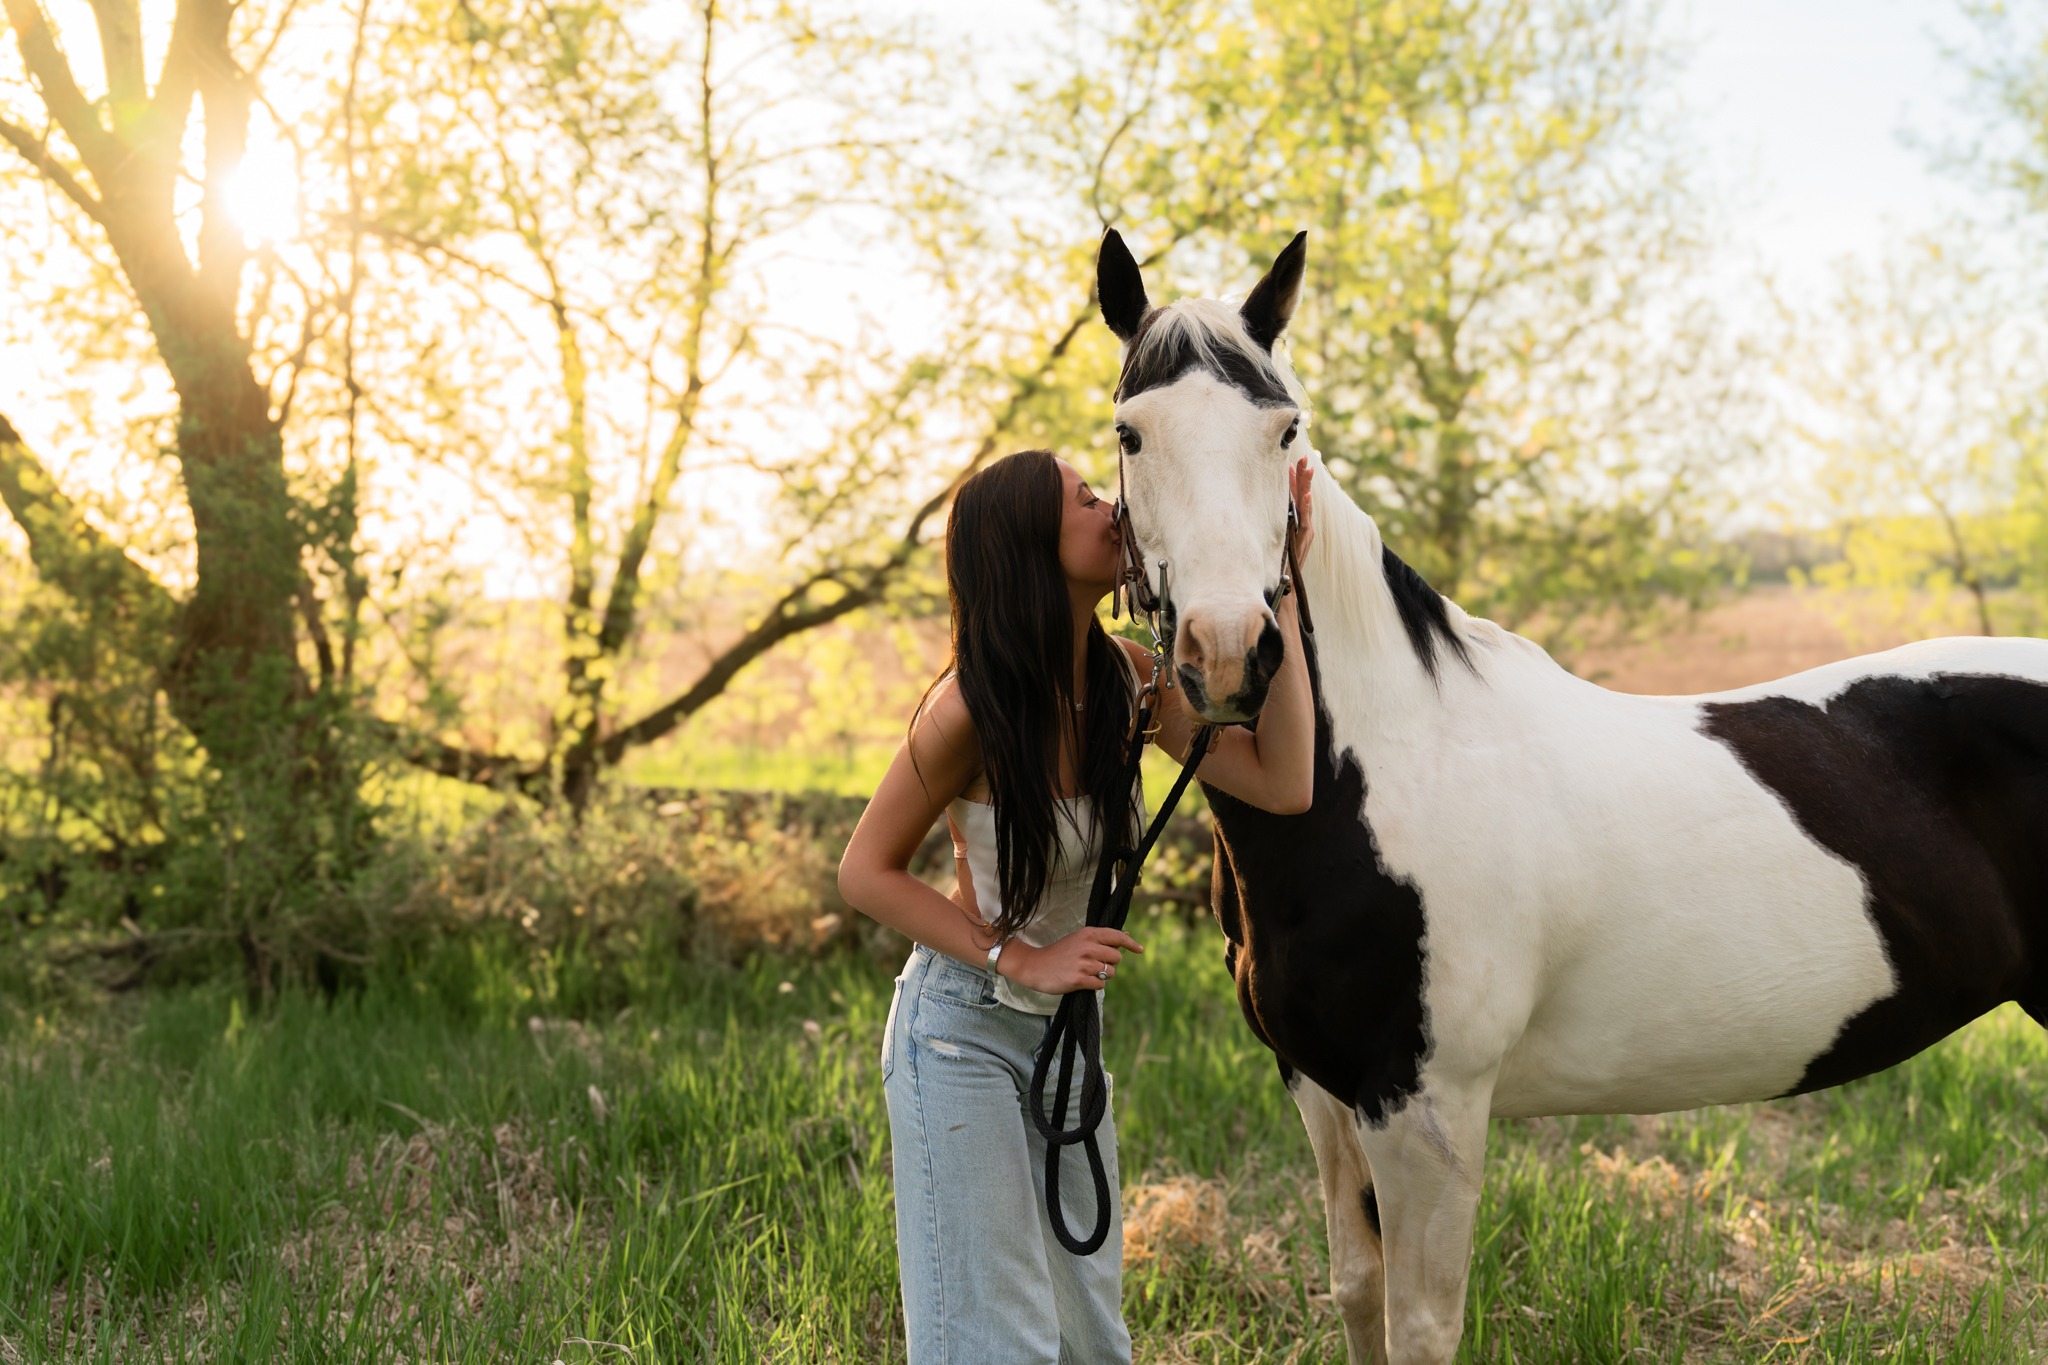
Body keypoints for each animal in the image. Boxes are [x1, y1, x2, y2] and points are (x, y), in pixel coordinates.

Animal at [1095, 226, 2048, 1364]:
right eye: (1131, 433)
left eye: (1284, 429)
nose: (1231, 654)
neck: (1380, 775)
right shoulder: (1321, 1091)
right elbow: (1357, 1291)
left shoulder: (1426, 1112)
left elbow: (1418, 1326)